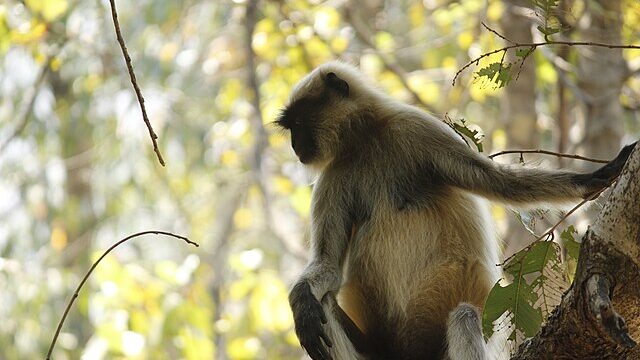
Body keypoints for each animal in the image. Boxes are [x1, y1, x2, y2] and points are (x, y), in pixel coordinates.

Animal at [276, 62, 636, 360]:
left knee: (464, 316)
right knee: (321, 301)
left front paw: (599, 176)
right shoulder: (333, 177)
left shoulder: (417, 128)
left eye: (299, 123)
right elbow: (326, 268)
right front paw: (301, 302)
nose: (295, 146)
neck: (365, 139)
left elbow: (502, 183)